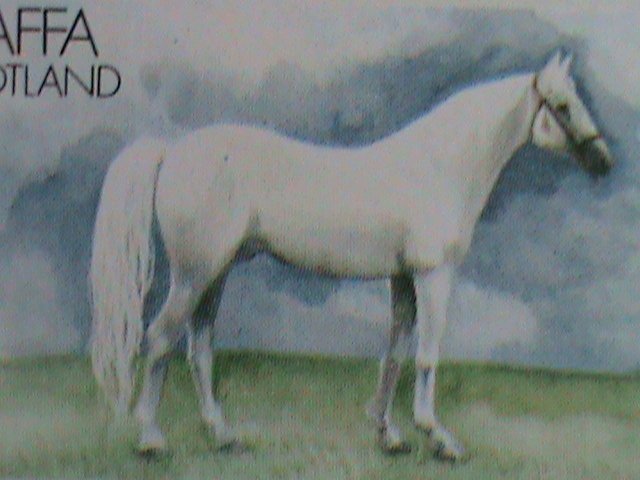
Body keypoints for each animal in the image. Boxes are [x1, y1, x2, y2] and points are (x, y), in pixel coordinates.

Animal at [89, 52, 613, 460]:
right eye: (562, 105)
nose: (604, 161)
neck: (438, 167)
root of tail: (173, 150)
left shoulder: (403, 277)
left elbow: (395, 352)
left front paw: (388, 434)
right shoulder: (433, 274)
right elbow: (426, 354)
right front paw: (439, 438)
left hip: (214, 274)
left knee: (198, 348)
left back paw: (223, 435)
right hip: (193, 274)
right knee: (159, 338)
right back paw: (151, 439)